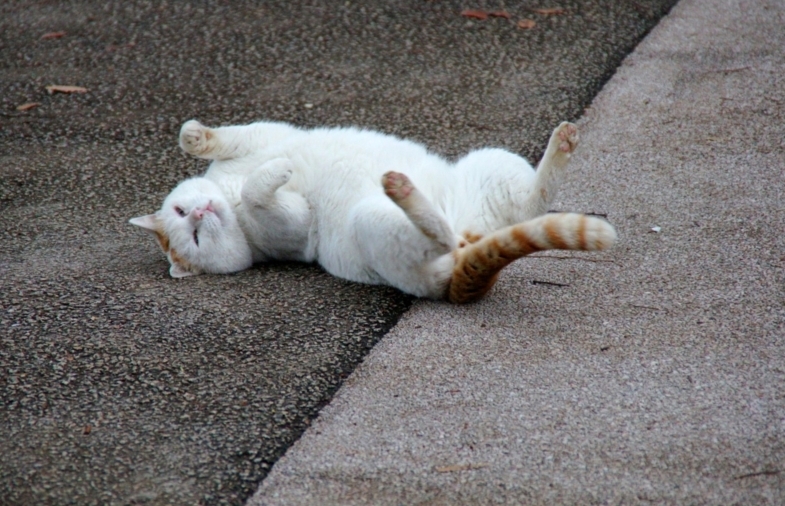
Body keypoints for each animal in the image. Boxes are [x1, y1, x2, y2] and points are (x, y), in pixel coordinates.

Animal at [132, 117, 616, 304]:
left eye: (180, 211)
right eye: (195, 239)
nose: (200, 213)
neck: (227, 196)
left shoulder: (259, 136)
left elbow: (204, 138)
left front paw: (198, 137)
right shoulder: (288, 230)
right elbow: (262, 193)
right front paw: (281, 171)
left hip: (490, 162)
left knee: (535, 199)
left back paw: (563, 143)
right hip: (373, 222)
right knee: (445, 235)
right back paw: (403, 191)